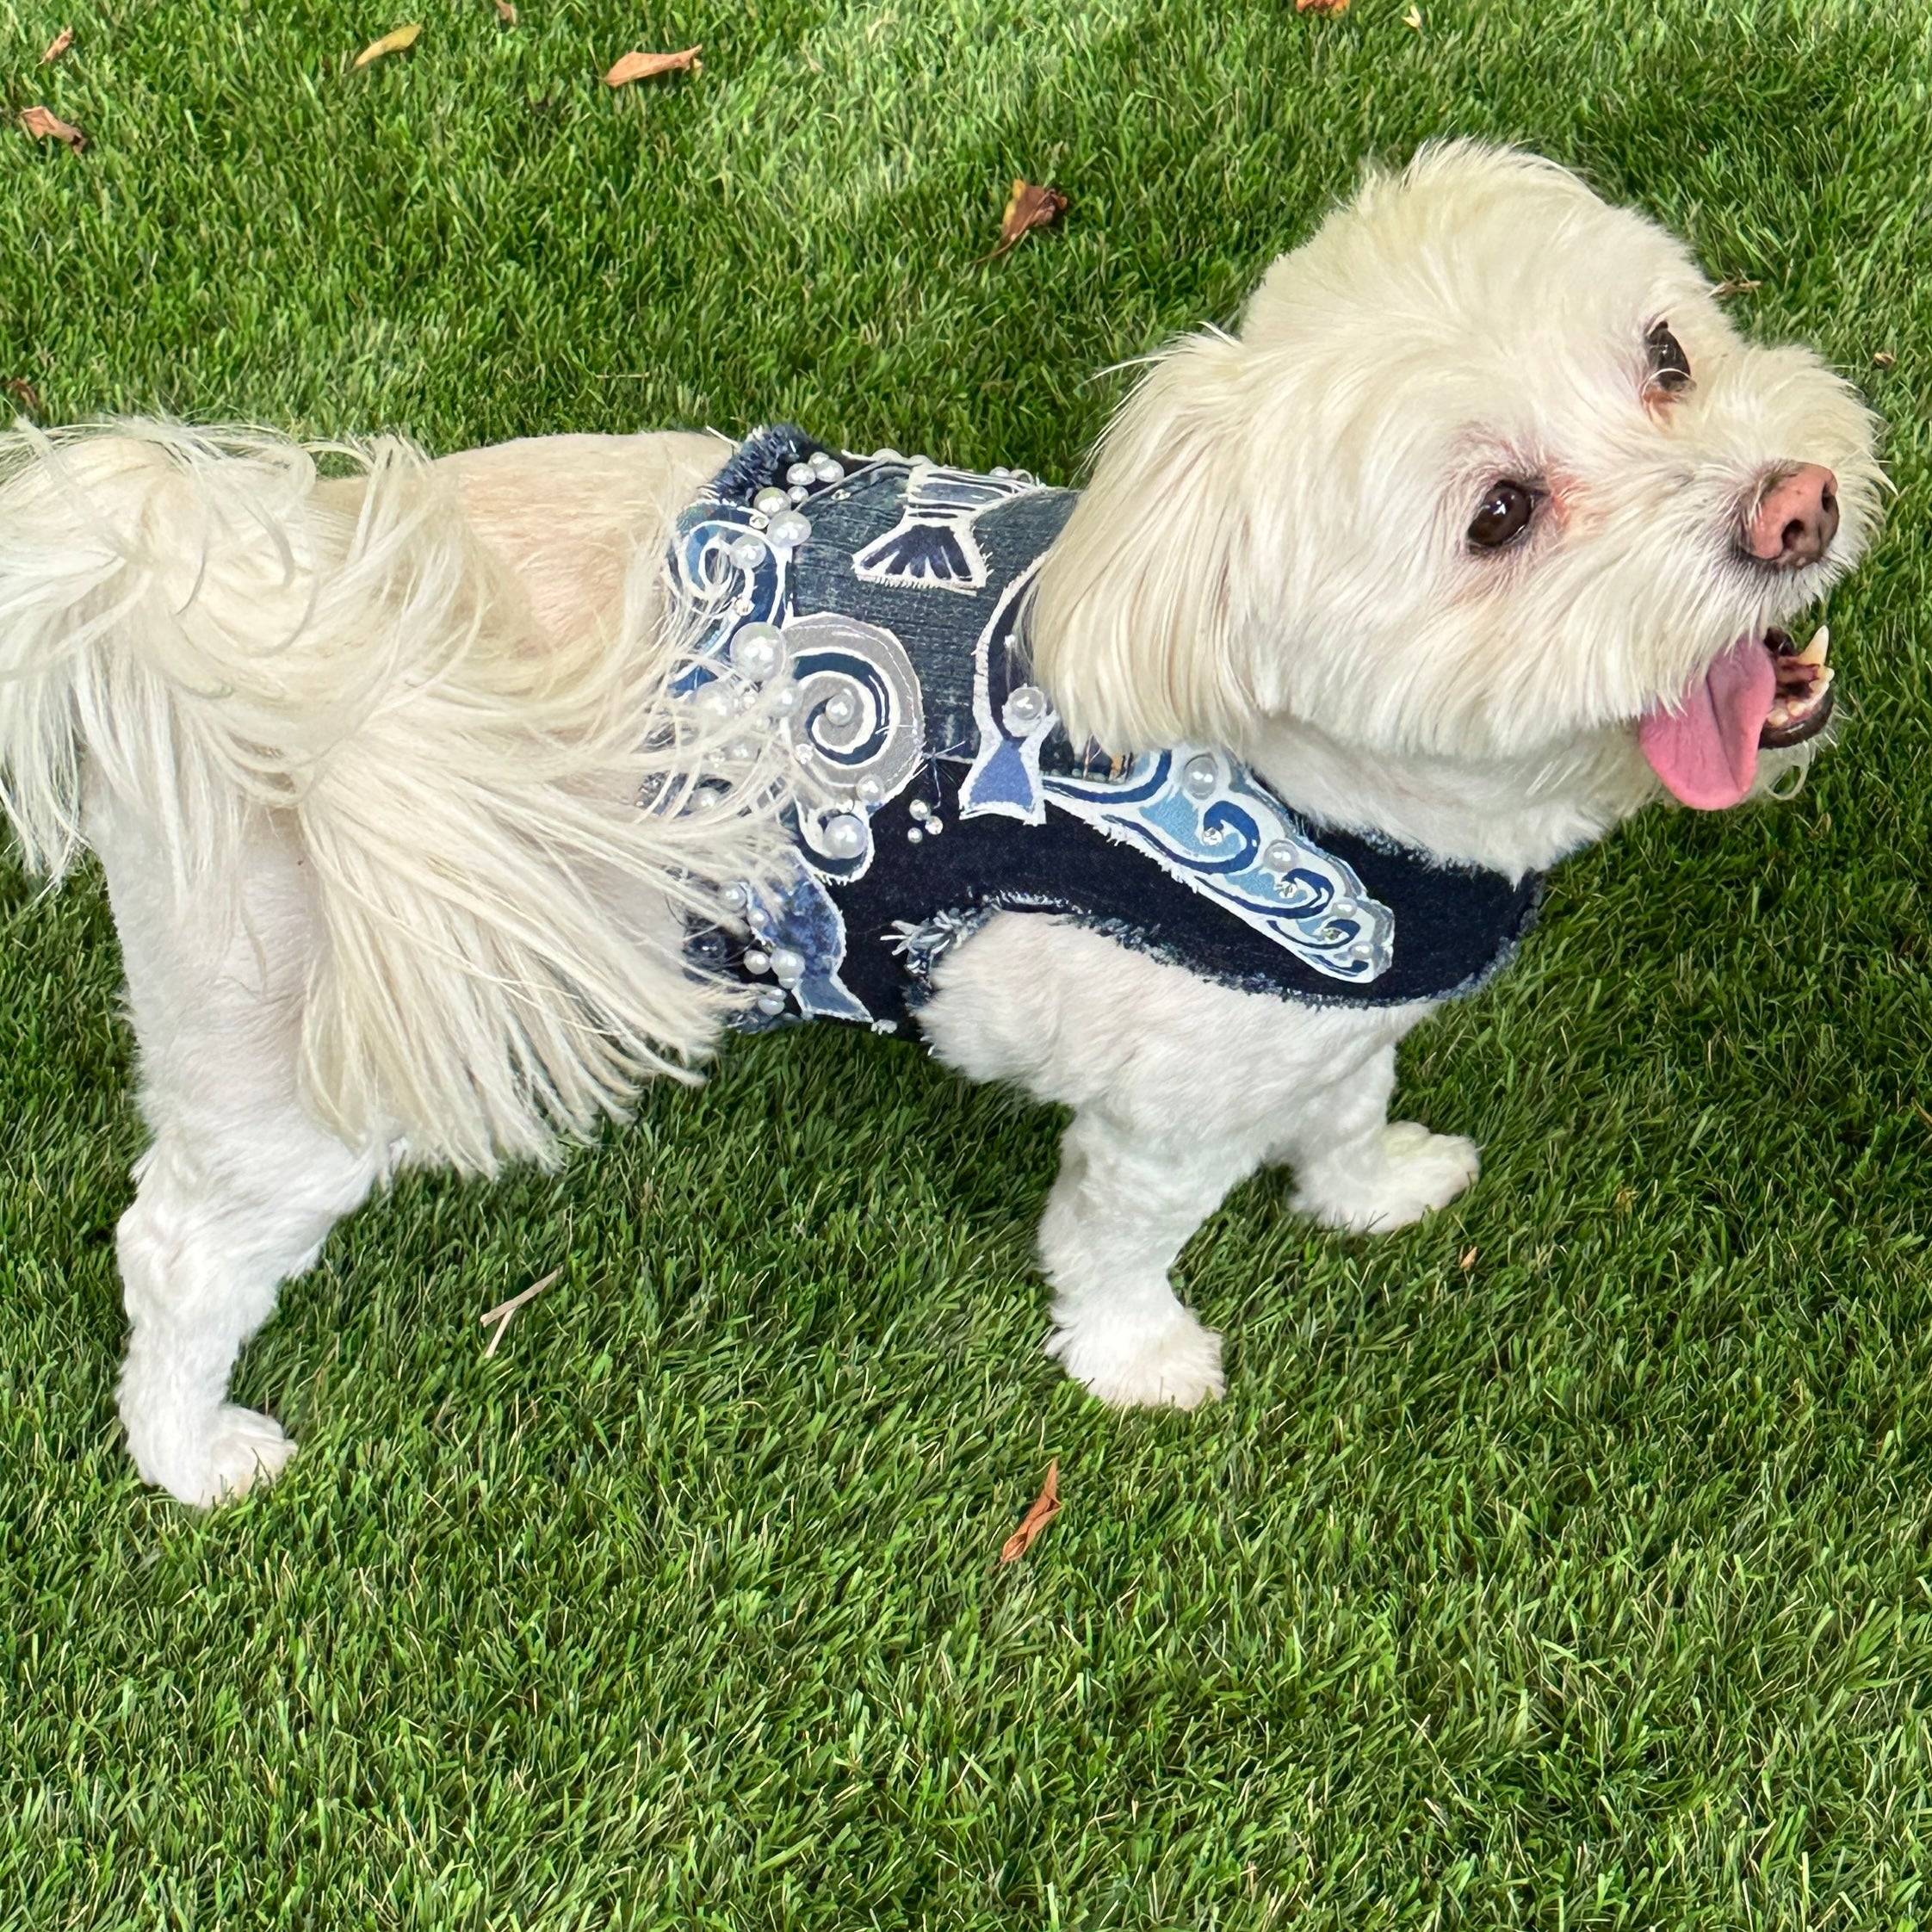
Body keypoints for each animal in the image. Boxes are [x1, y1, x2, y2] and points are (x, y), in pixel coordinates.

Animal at [0, 151, 1870, 1507]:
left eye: (1666, 356)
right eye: (1497, 514)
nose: (1796, 506)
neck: (1323, 793)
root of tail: (223, 607)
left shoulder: (1327, 1018)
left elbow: (1348, 1103)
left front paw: (1374, 1187)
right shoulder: (1161, 1103)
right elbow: (1115, 1240)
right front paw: (1139, 1361)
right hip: (294, 1062)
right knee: (174, 1249)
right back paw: (190, 1454)